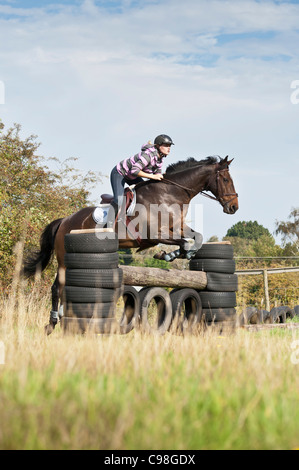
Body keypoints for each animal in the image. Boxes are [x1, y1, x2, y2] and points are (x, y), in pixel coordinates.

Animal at [22, 153, 239, 330]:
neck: (169, 194)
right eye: (225, 179)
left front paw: (175, 254)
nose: (234, 207)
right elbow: (184, 242)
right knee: (57, 287)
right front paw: (170, 254)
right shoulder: (156, 234)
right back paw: (52, 323)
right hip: (64, 260)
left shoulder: (176, 228)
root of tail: (64, 220)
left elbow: (196, 237)